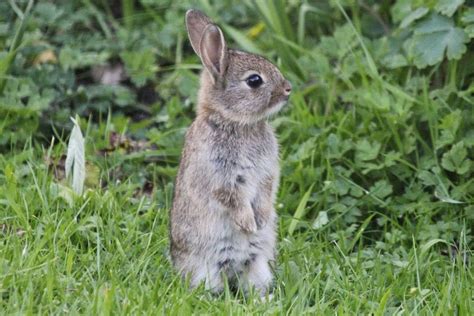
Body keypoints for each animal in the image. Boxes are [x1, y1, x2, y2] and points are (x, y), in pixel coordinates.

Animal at [168, 9, 290, 296]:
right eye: (254, 81)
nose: (288, 89)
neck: (233, 122)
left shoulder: (267, 173)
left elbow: (265, 191)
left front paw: (261, 220)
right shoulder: (220, 174)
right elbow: (232, 198)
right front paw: (248, 224)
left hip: (258, 265)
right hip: (204, 268)